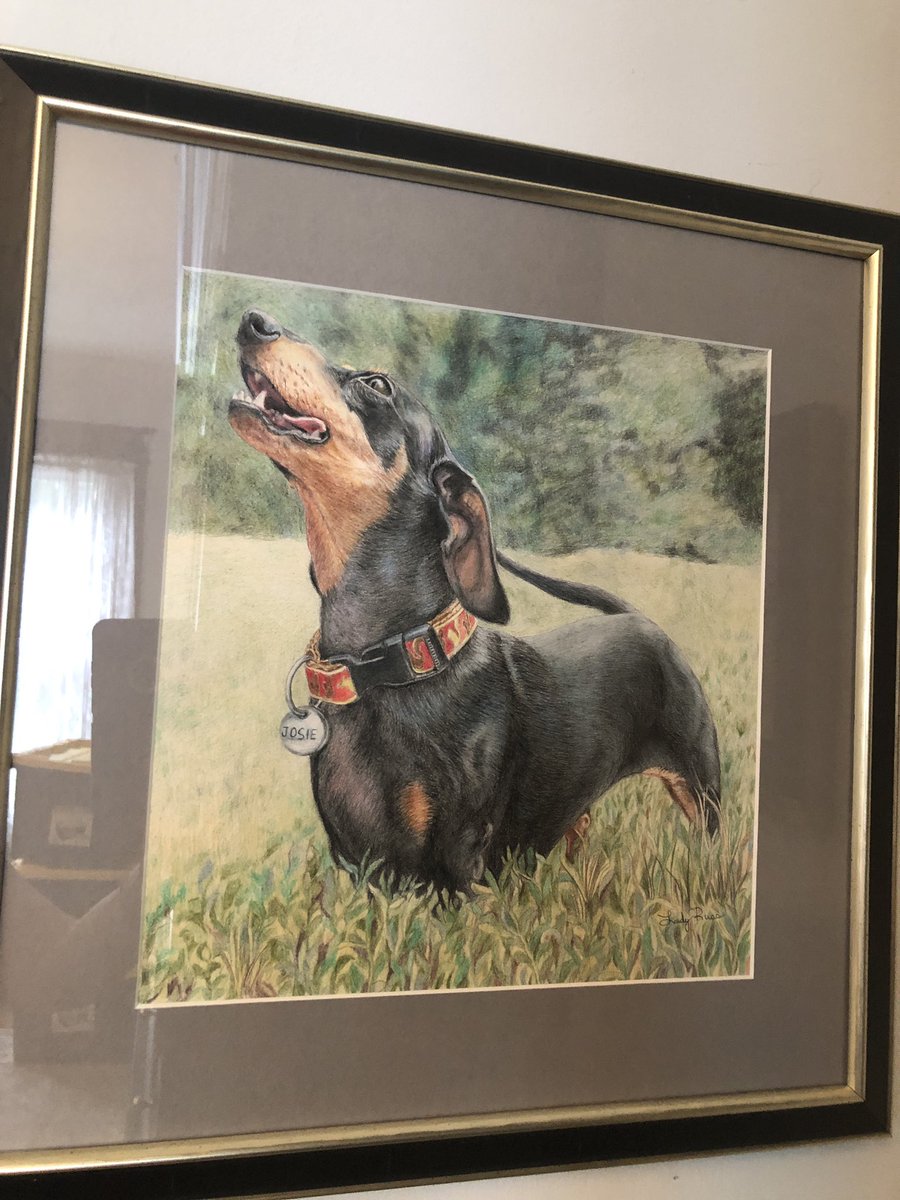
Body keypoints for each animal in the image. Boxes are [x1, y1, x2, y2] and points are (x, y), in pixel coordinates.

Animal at [228, 309, 721, 895]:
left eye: (377, 384)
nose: (254, 322)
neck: (395, 665)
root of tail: (639, 618)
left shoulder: (461, 859)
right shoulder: (358, 865)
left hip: (701, 786)